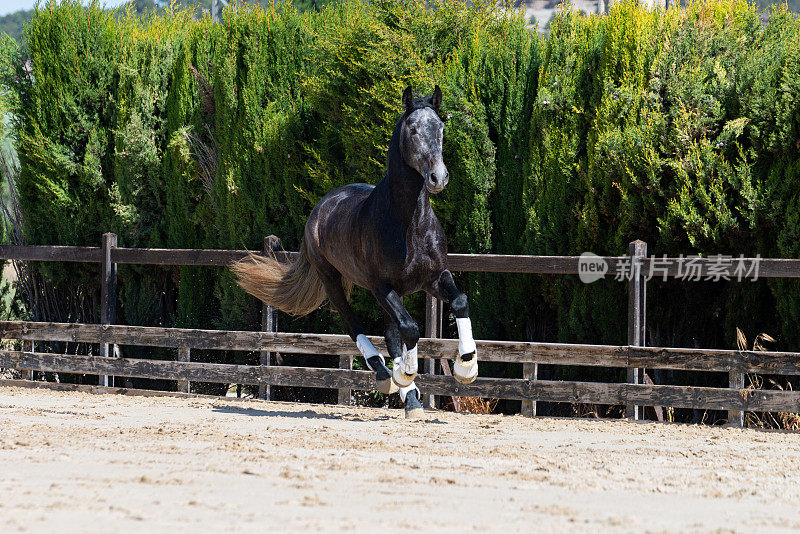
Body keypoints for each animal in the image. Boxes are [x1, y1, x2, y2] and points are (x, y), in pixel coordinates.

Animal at [234, 86, 478, 420]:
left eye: (441, 128)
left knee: (391, 334)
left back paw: (411, 400)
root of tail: (323, 206)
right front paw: (405, 373)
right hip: (331, 279)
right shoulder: (381, 287)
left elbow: (458, 302)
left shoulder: (434, 278)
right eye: (413, 130)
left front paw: (466, 367)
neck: (410, 223)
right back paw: (387, 376)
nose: (437, 178)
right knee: (354, 325)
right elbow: (410, 328)